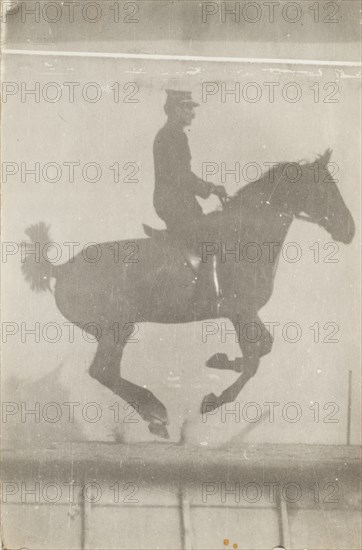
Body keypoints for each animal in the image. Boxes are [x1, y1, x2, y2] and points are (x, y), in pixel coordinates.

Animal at [23, 150, 356, 440]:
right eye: (324, 189)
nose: (349, 230)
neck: (246, 237)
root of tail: (60, 269)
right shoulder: (241, 311)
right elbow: (253, 361)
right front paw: (213, 396)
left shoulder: (244, 314)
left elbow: (262, 349)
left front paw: (221, 361)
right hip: (116, 328)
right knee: (102, 371)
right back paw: (156, 413)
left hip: (114, 330)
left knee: (108, 372)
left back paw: (154, 416)